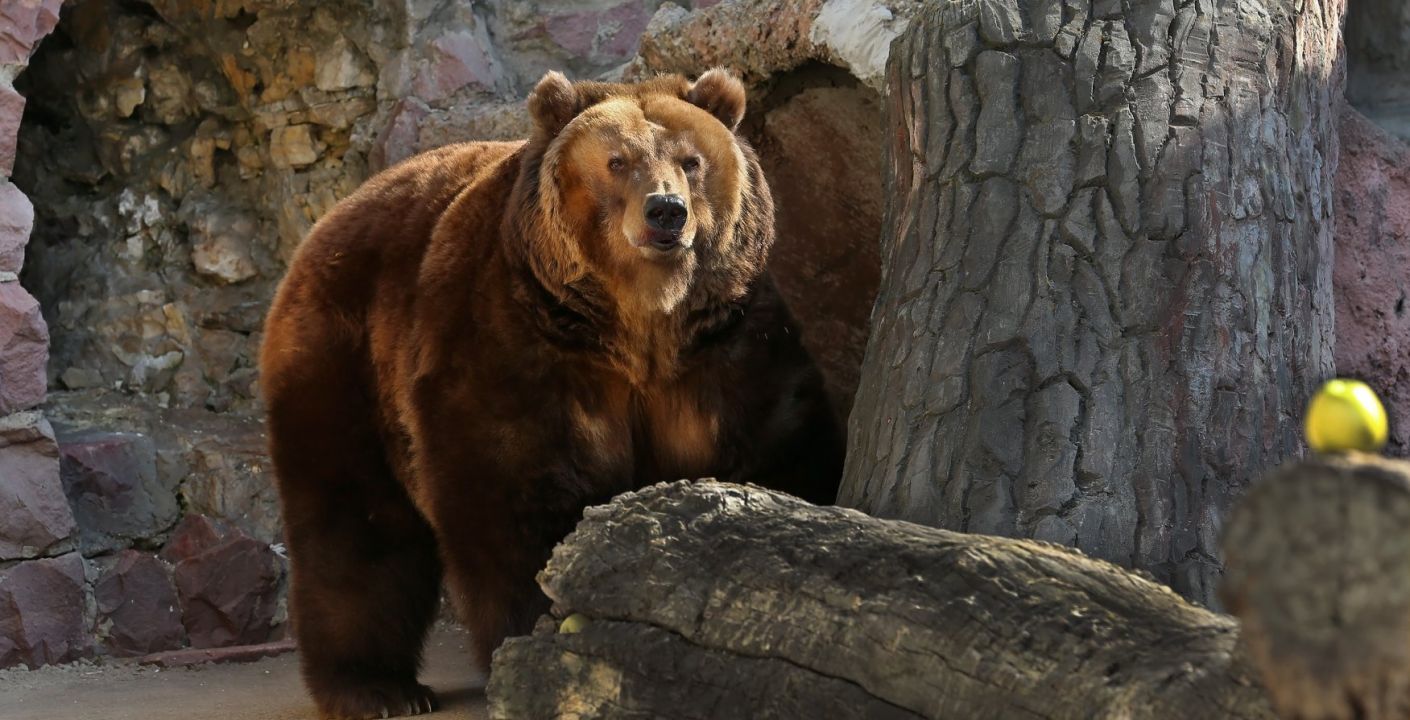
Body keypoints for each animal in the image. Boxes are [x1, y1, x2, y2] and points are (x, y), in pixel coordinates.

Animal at [259, 66, 840, 715]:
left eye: (691, 160)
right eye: (617, 161)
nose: (666, 212)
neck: (640, 327)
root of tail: (335, 213)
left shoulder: (726, 347)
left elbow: (779, 447)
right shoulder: (516, 341)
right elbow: (512, 488)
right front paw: (540, 637)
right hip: (343, 358)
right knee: (355, 524)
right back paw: (376, 687)